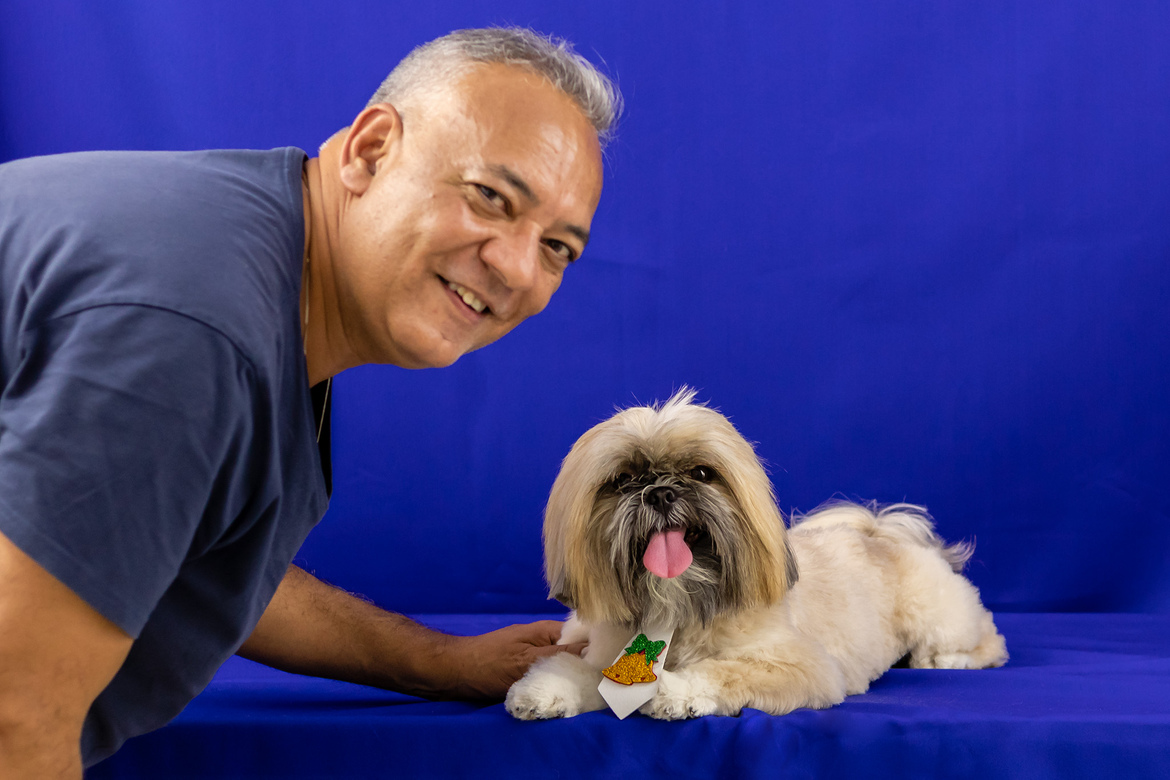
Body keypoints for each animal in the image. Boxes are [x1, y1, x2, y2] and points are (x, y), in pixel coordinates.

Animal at [506, 389, 1007, 720]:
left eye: (701, 473)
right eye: (624, 480)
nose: (661, 492)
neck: (677, 610)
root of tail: (880, 532)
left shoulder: (802, 667)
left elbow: (726, 670)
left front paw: (673, 693)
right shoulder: (605, 658)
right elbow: (580, 671)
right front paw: (541, 691)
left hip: (937, 617)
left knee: (987, 644)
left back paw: (948, 661)